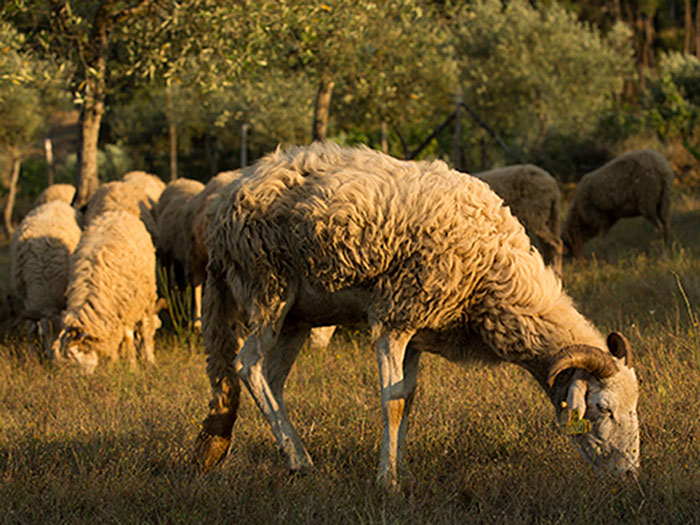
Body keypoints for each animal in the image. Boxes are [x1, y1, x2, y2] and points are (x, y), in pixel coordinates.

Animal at [10, 201, 82, 355]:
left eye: (61, 335)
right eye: (42, 335)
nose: (51, 357)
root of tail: (56, 202)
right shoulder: (27, 298)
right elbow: (32, 324)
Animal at [52, 210, 162, 373]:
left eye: (82, 351)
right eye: (71, 358)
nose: (83, 377)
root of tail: (117, 213)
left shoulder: (125, 307)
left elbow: (128, 337)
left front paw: (132, 367)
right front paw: (112, 363)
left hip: (145, 296)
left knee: (145, 327)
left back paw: (149, 360)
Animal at [194, 143, 640, 487]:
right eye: (603, 408)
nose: (631, 475)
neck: (493, 274)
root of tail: (227, 204)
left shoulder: (417, 334)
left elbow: (407, 400)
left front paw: (403, 473)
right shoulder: (394, 318)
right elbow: (391, 403)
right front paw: (387, 482)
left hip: (298, 317)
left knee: (271, 379)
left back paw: (294, 456)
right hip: (268, 288)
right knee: (247, 365)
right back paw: (300, 460)